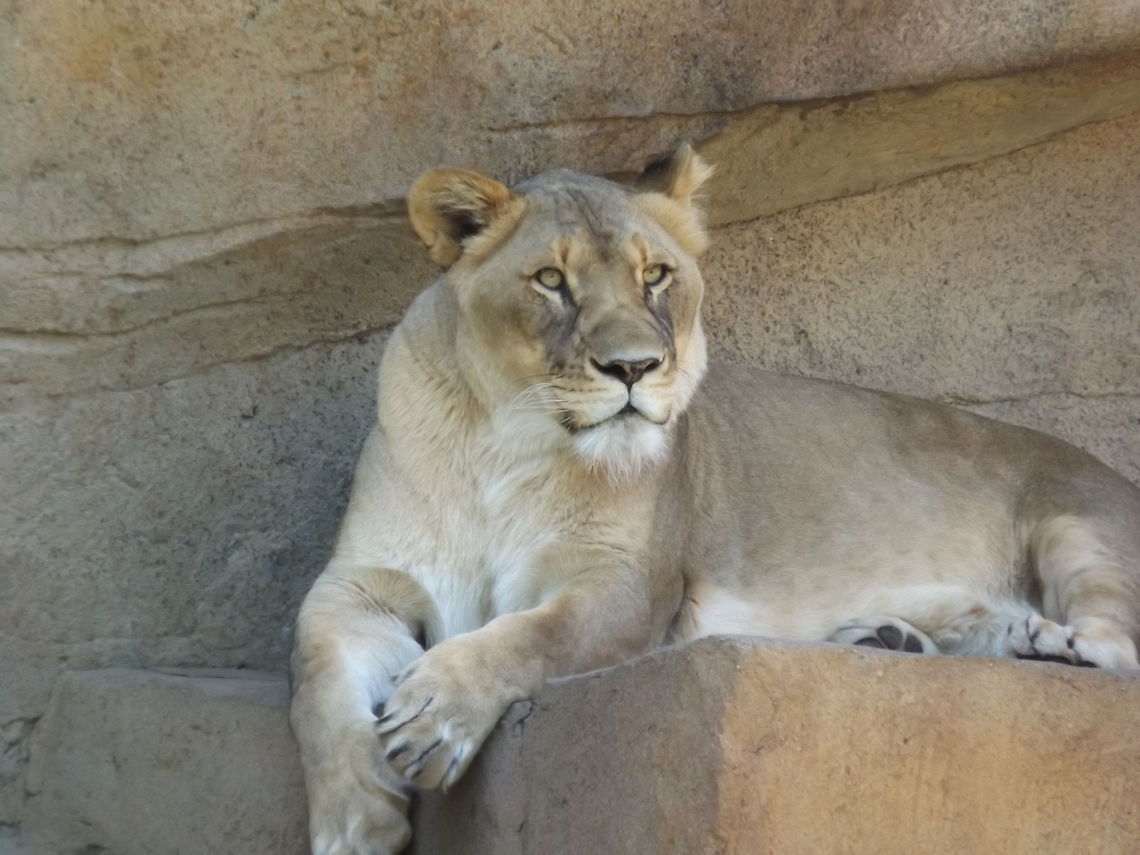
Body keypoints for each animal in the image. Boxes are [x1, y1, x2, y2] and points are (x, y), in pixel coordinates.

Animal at [289, 146, 1140, 854]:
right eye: (552, 281)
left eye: (656, 276)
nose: (634, 367)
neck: (509, 440)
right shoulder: (362, 581)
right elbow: (315, 674)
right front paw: (354, 824)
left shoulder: (633, 584)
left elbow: (534, 634)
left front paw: (436, 713)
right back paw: (896, 638)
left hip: (1078, 528)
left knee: (1121, 652)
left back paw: (1051, 644)